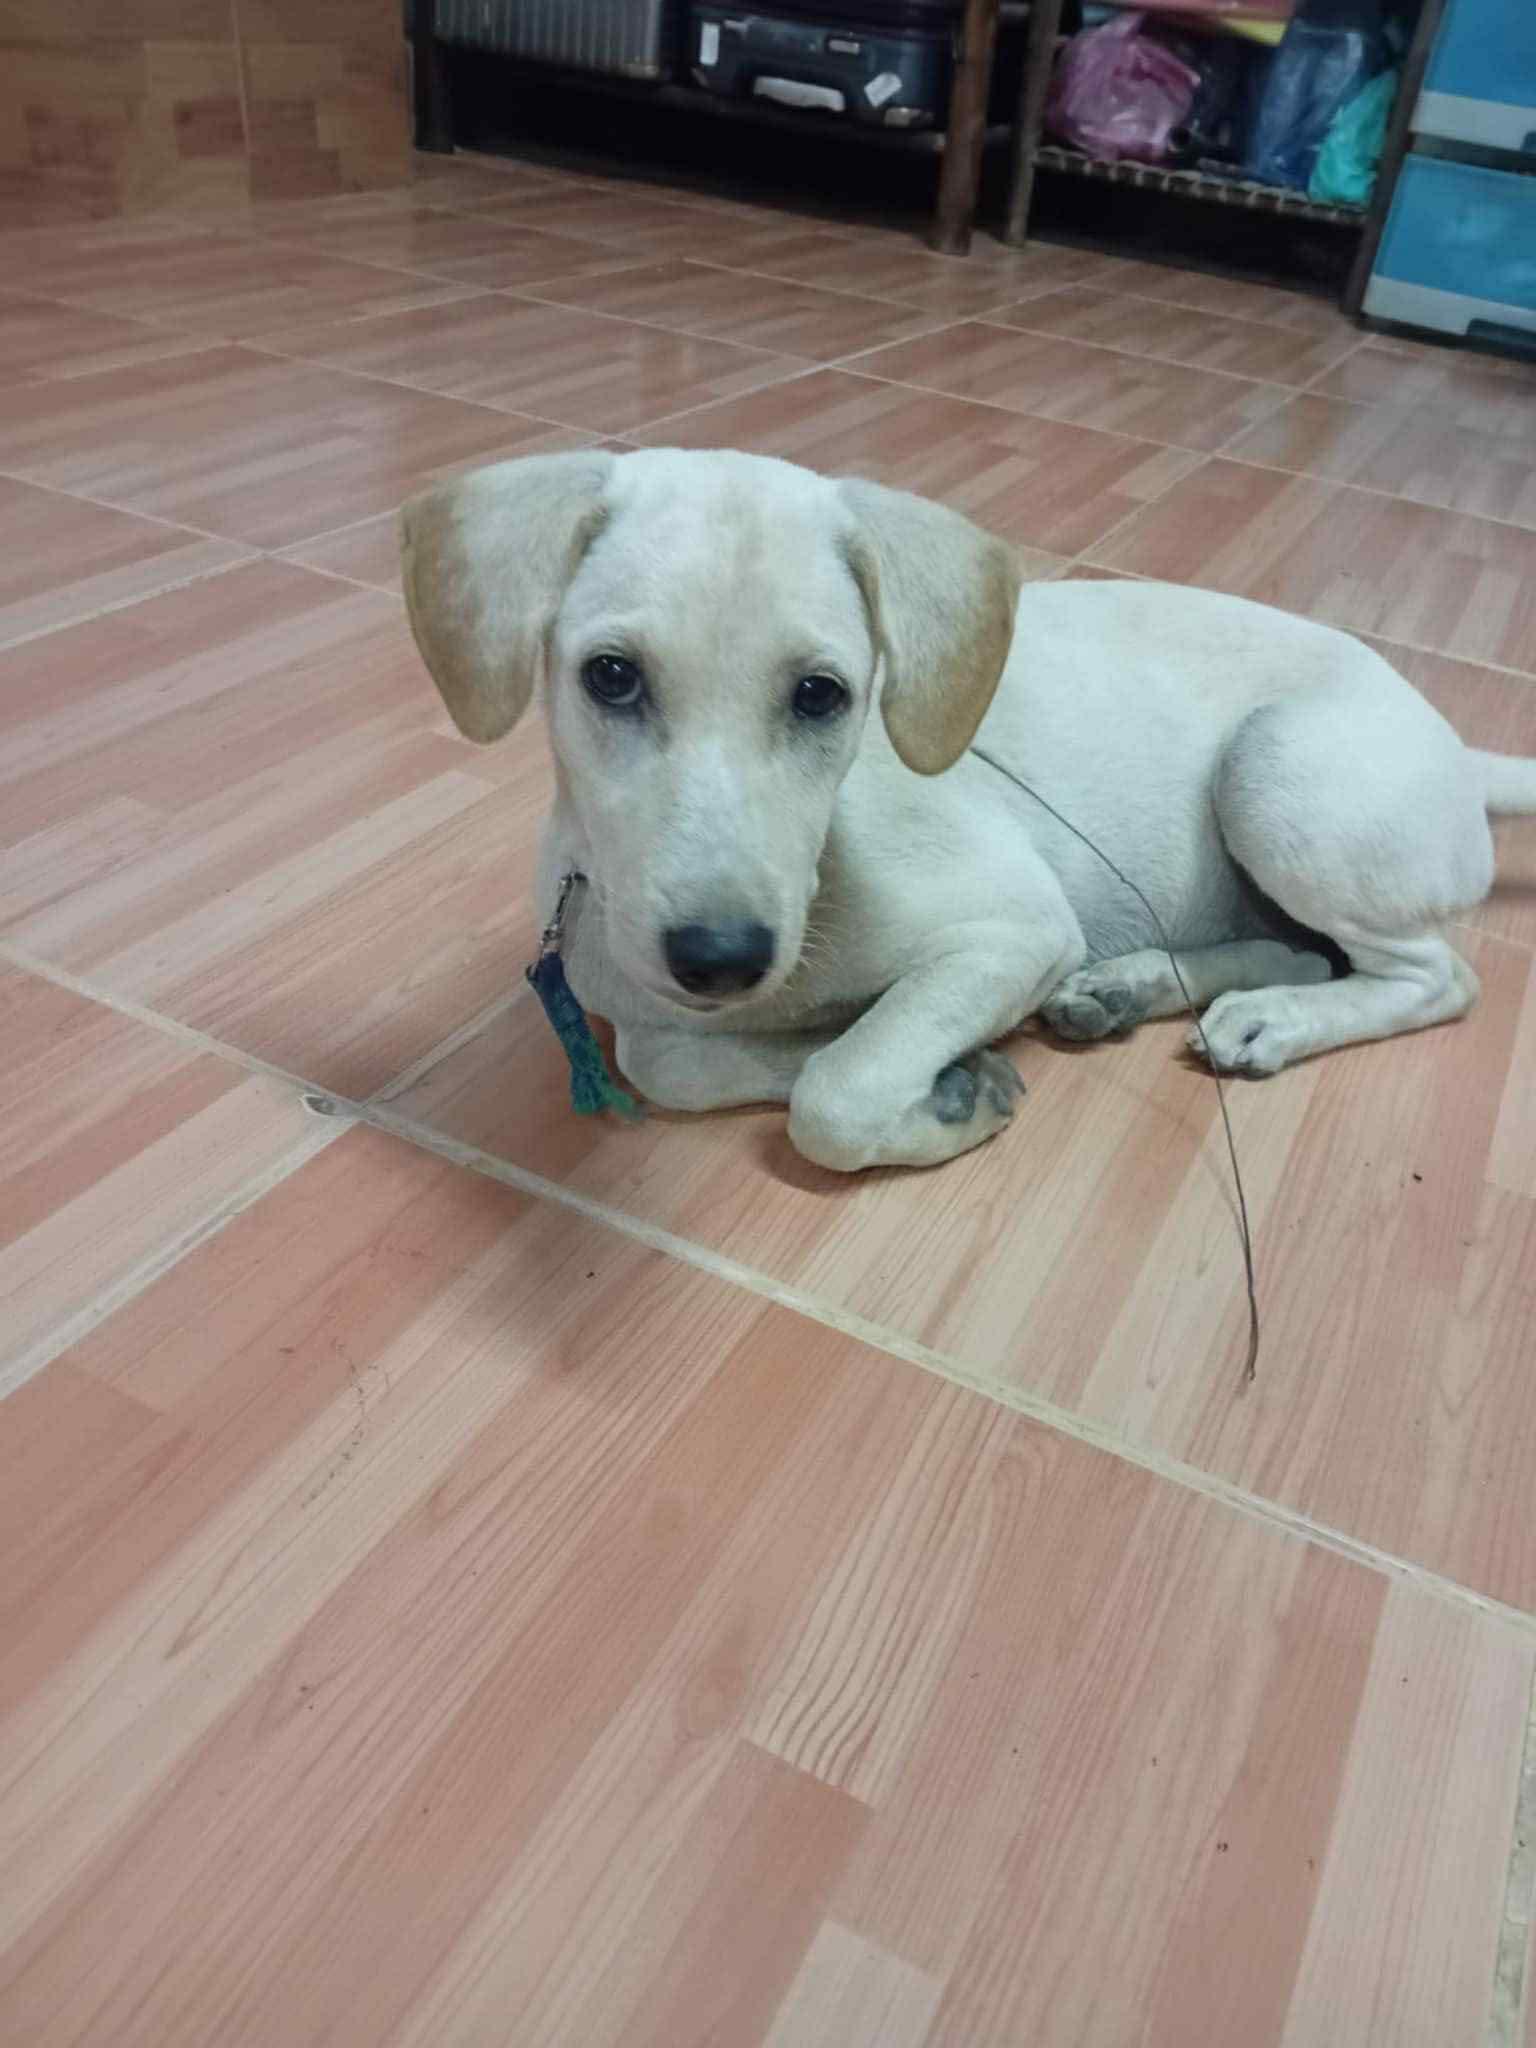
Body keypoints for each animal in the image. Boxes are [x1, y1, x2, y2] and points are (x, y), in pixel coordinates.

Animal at [400, 447, 1536, 1173]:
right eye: (611, 677)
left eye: (823, 694)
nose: (720, 957)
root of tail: (1460, 748)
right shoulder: (654, 1011)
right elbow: (671, 1059)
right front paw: (929, 1069)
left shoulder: (1012, 932)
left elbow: (835, 1092)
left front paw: (940, 1094)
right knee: (1300, 949)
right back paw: (1132, 989)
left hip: (1275, 774)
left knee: (1436, 978)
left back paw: (1278, 1019)